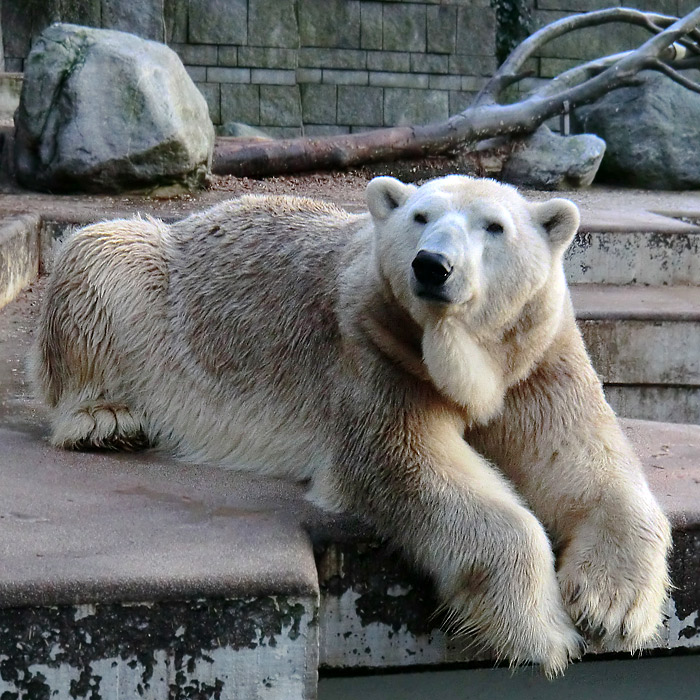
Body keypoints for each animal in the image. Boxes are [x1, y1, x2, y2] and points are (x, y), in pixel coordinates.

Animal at [34, 178, 672, 676]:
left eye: (494, 226)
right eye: (420, 216)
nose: (432, 265)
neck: (464, 357)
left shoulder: (536, 355)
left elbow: (578, 458)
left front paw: (611, 607)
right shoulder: (376, 347)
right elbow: (405, 461)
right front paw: (542, 629)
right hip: (156, 287)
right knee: (101, 253)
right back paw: (104, 421)